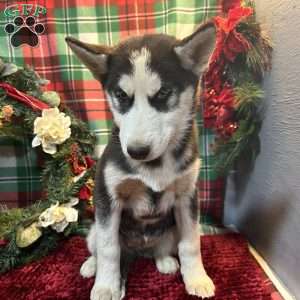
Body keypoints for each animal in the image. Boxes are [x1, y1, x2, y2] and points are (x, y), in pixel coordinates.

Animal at [66, 21, 216, 300]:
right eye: (121, 95)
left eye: (164, 92)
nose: (136, 151)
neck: (154, 165)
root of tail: (138, 250)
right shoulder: (108, 198)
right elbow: (109, 249)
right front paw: (106, 286)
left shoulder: (188, 195)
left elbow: (191, 243)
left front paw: (197, 279)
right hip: (95, 228)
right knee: (100, 248)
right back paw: (91, 266)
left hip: (170, 229)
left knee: (163, 247)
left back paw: (164, 260)